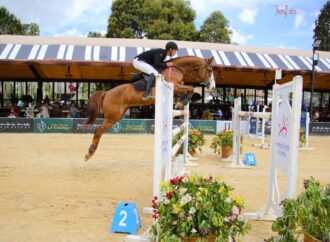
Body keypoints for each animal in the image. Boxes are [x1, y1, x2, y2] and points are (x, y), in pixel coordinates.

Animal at [84, 55, 215, 161]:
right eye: (209, 70)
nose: (213, 88)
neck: (176, 68)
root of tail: (106, 93)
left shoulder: (178, 86)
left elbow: (188, 88)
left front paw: (182, 101)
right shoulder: (174, 85)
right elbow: (191, 87)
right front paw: (184, 101)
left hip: (117, 116)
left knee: (100, 131)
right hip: (112, 117)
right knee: (98, 131)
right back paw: (89, 153)